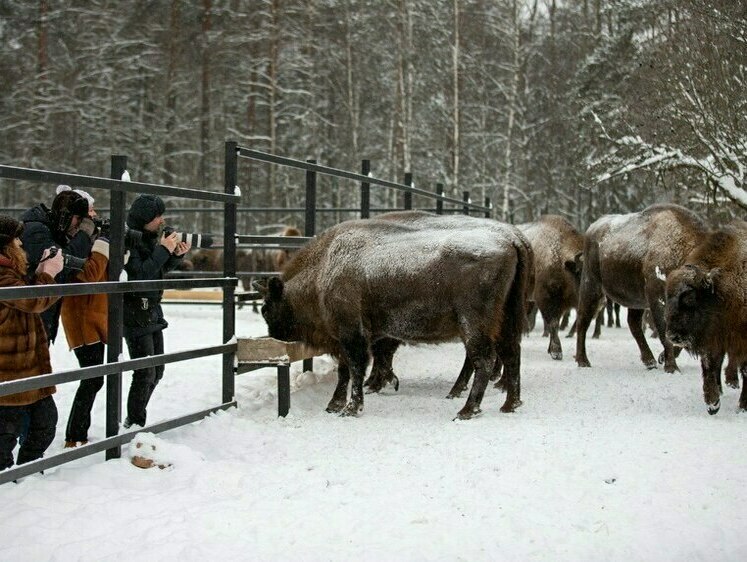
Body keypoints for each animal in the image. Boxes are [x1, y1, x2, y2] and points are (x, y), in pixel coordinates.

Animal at [256, 209, 532, 416]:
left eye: (266, 309)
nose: (274, 334)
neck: (325, 269)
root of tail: (512, 240)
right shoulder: (352, 337)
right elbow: (347, 369)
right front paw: (336, 404)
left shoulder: (352, 334)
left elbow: (356, 367)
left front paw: (351, 407)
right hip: (505, 319)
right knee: (510, 353)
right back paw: (509, 404)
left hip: (473, 322)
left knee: (483, 359)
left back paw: (466, 409)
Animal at [516, 214, 588, 358]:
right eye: (578, 272)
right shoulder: (546, 299)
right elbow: (553, 323)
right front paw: (556, 351)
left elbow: (554, 323)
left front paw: (551, 349)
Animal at [576, 202, 712, 372]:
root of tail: (593, 227)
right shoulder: (657, 299)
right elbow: (664, 333)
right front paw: (671, 367)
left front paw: (663, 358)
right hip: (592, 287)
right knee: (583, 319)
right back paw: (583, 361)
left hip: (636, 299)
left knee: (633, 324)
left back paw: (650, 361)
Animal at [668, 222, 747, 412]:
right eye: (668, 299)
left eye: (690, 299)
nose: (673, 336)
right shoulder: (713, 340)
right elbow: (710, 365)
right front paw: (712, 403)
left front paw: (742, 406)